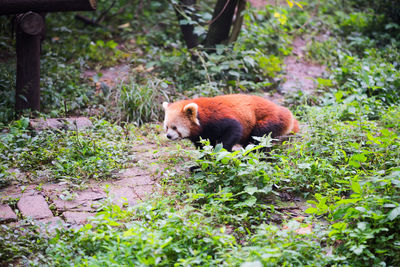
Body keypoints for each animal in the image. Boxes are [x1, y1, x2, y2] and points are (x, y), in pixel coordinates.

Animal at [162, 94, 296, 152]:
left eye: (175, 127)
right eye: (166, 127)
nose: (168, 136)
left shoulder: (218, 119)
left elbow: (234, 130)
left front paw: (223, 151)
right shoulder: (202, 134)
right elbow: (204, 145)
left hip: (269, 119)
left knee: (259, 136)